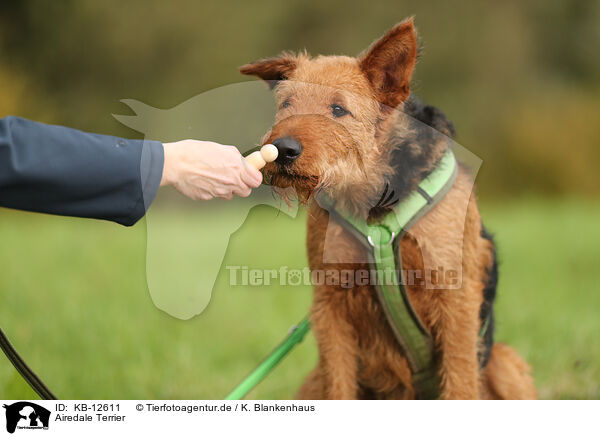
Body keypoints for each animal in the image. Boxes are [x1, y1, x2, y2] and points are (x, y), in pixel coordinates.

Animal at [239, 17, 536, 398]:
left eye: (339, 109)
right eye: (286, 103)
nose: (283, 149)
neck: (374, 207)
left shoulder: (454, 295)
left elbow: (459, 379)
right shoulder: (331, 302)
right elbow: (339, 385)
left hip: (506, 363)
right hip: (312, 381)